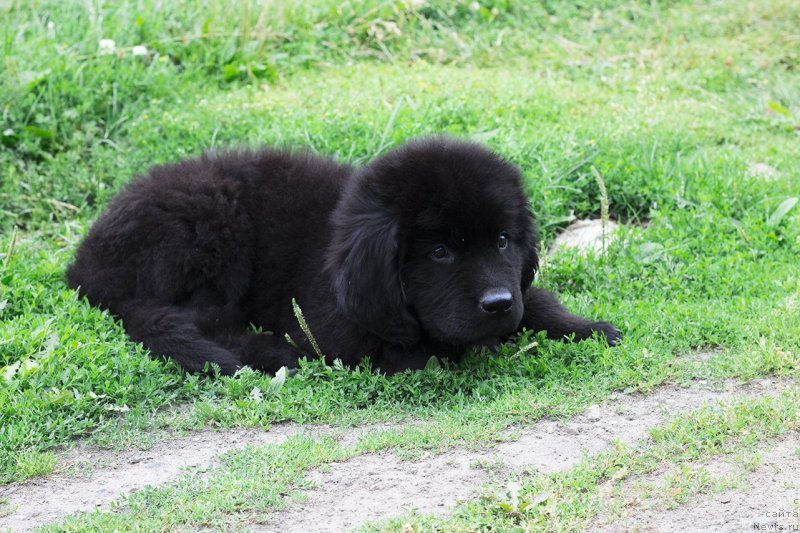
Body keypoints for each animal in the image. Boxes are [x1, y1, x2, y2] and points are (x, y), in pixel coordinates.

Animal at [67, 135, 620, 372]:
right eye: (440, 252)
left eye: (503, 240)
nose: (498, 304)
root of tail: (84, 265)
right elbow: (422, 347)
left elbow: (537, 299)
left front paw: (586, 327)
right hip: (213, 228)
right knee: (209, 325)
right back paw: (273, 353)